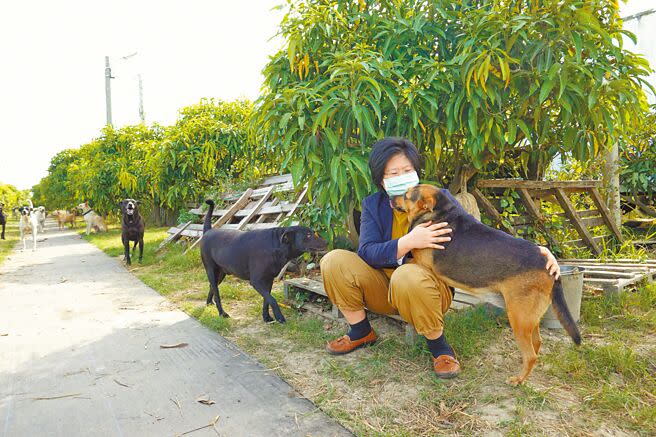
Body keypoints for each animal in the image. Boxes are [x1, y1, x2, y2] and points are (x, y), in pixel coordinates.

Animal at [197, 199, 326, 322]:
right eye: (308, 235)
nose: (327, 242)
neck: (275, 245)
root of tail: (208, 231)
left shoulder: (269, 280)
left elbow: (266, 301)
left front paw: (267, 317)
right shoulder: (256, 281)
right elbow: (272, 300)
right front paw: (279, 317)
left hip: (221, 274)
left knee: (212, 287)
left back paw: (209, 303)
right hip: (211, 270)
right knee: (216, 293)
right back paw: (222, 313)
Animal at [390, 184, 580, 384]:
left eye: (406, 195)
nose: (390, 198)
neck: (441, 212)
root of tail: (547, 265)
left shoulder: (422, 263)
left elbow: (404, 262)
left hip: (518, 318)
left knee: (531, 355)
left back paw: (518, 380)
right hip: (529, 317)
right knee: (537, 343)